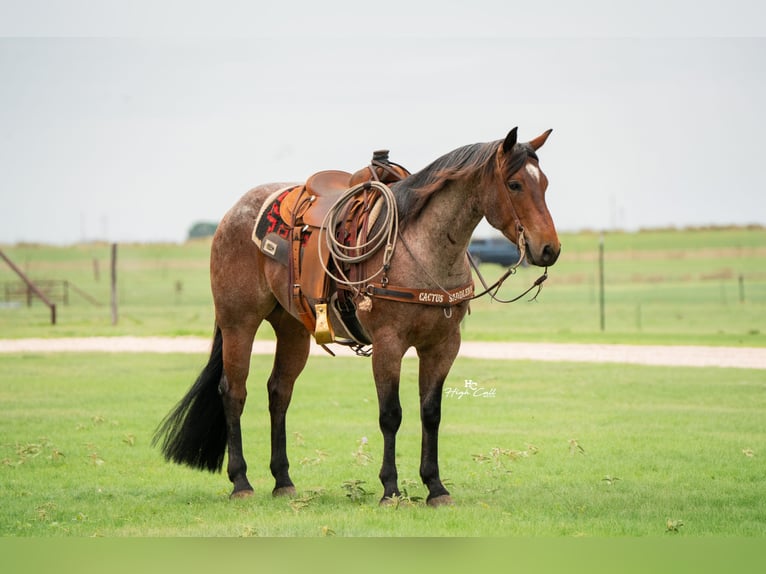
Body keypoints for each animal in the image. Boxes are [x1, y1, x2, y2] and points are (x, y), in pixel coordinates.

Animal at [152, 127, 560, 506]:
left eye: (544, 184)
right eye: (515, 184)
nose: (549, 249)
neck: (422, 249)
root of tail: (233, 213)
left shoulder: (443, 345)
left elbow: (431, 413)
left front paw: (435, 487)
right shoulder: (388, 343)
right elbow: (391, 414)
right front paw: (390, 489)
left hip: (292, 330)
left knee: (279, 392)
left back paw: (283, 481)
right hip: (239, 322)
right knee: (234, 392)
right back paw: (241, 482)